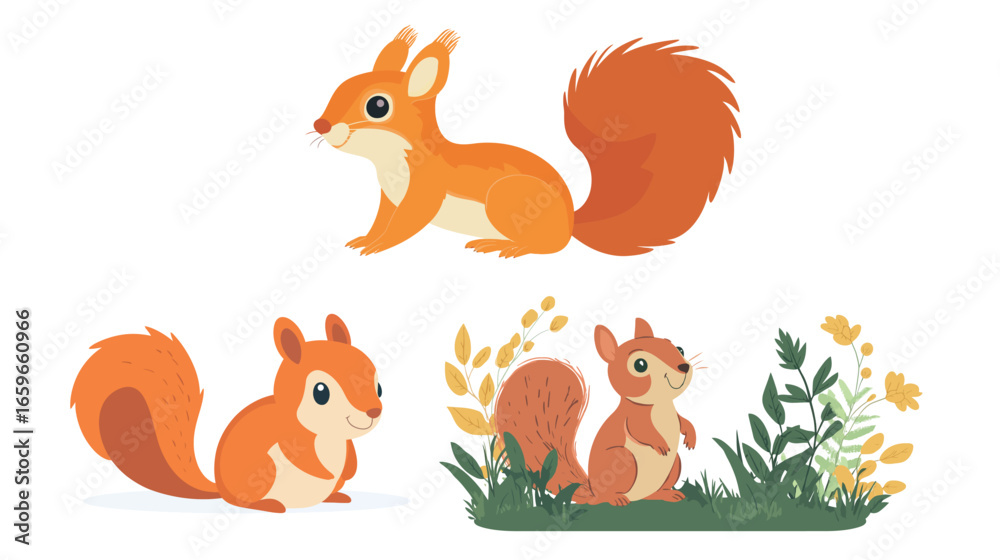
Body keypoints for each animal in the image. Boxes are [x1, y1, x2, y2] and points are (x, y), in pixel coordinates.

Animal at [70, 314, 382, 513]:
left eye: (378, 387)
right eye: (320, 392)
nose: (373, 411)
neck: (328, 435)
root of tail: (221, 488)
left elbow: (349, 455)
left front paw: (347, 467)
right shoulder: (289, 434)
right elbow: (302, 455)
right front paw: (321, 468)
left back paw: (336, 496)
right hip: (262, 471)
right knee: (242, 502)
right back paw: (269, 505)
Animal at [313, 27, 740, 258]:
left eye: (378, 105)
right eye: (341, 85)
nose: (321, 124)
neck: (391, 162)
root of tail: (570, 224)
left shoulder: (424, 191)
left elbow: (406, 224)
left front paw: (379, 246)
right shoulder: (389, 198)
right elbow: (382, 219)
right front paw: (366, 238)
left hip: (507, 200)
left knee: (549, 248)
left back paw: (503, 246)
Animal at [494, 318, 696, 505]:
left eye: (680, 349)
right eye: (640, 365)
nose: (684, 367)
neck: (660, 404)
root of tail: (593, 492)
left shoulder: (674, 416)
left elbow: (683, 421)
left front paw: (691, 436)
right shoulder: (632, 418)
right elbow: (641, 430)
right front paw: (659, 443)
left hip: (675, 463)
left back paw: (666, 494)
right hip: (623, 460)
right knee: (608, 496)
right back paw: (616, 499)